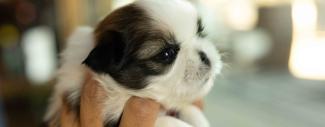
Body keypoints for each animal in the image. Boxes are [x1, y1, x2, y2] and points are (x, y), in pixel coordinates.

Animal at [44, 0, 223, 127]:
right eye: (166, 54)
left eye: (200, 32)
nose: (205, 56)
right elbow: (164, 121)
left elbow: (188, 109)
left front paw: (198, 118)